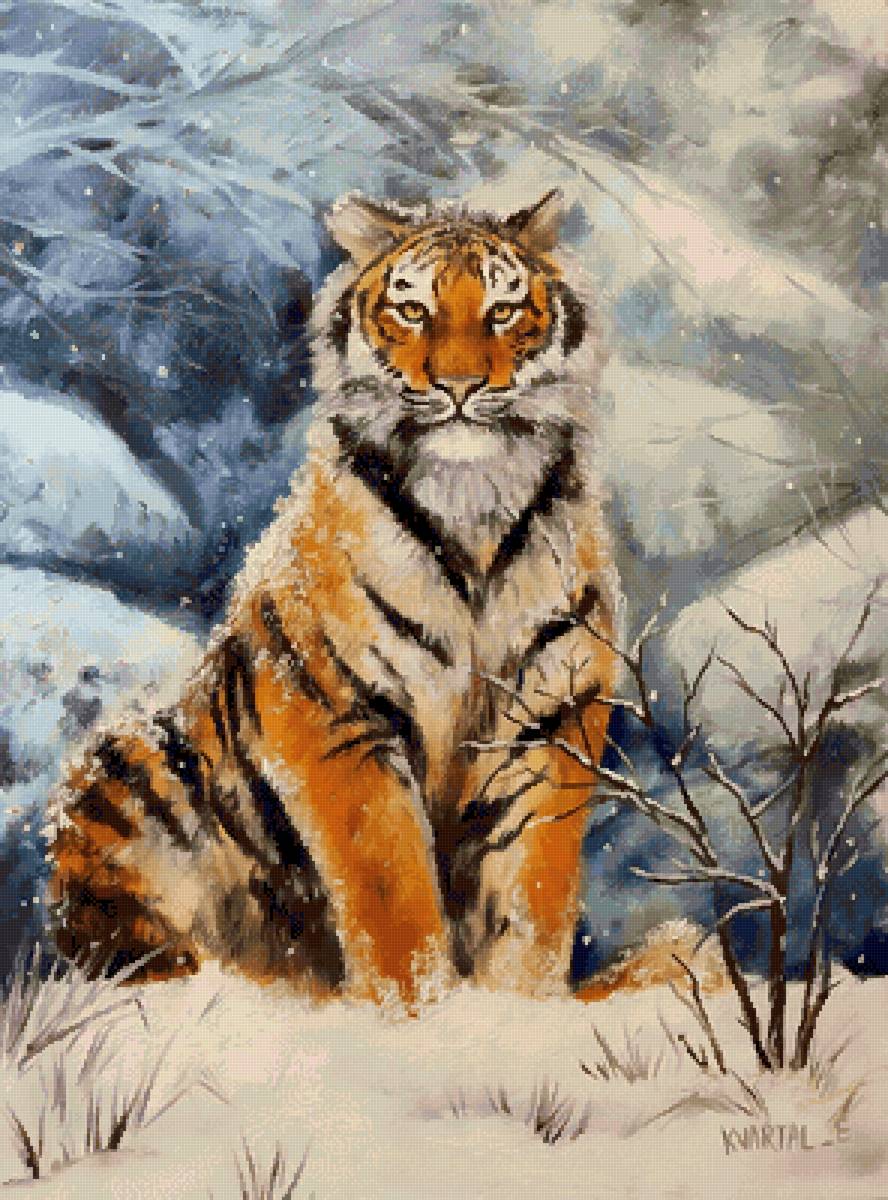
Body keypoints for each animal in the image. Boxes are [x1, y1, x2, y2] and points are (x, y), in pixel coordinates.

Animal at [47, 189, 626, 1007]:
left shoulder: (551, 716)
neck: (471, 507)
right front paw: (419, 1014)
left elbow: (533, 895)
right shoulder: (334, 711)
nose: (459, 387)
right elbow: (392, 890)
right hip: (128, 769)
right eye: (412, 310)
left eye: (504, 310)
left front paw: (517, 1009)